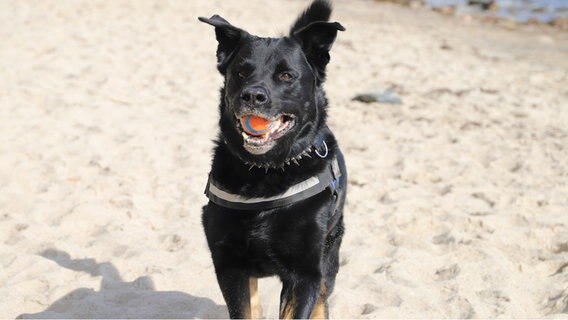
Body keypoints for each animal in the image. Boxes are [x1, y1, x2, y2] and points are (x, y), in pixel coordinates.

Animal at [200, 1, 346, 318]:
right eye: (241, 72)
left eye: (286, 76)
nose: (252, 96)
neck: (265, 172)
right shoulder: (230, 265)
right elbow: (244, 309)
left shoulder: (305, 274)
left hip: (331, 250)